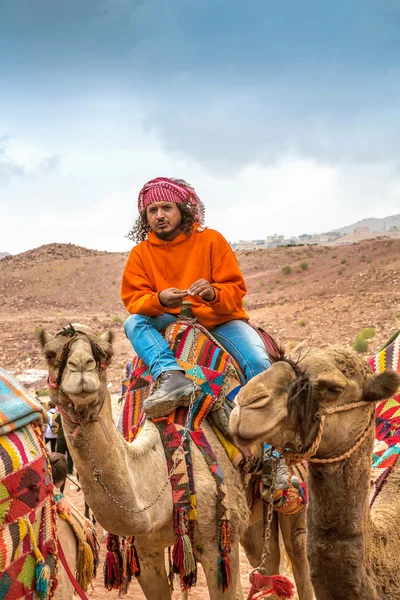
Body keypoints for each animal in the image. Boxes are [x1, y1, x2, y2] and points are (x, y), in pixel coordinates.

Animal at [38, 326, 312, 596]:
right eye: (49, 355)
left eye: (106, 354)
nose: (81, 367)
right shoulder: (144, 553)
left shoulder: (221, 544)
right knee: (266, 560)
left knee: (297, 550)